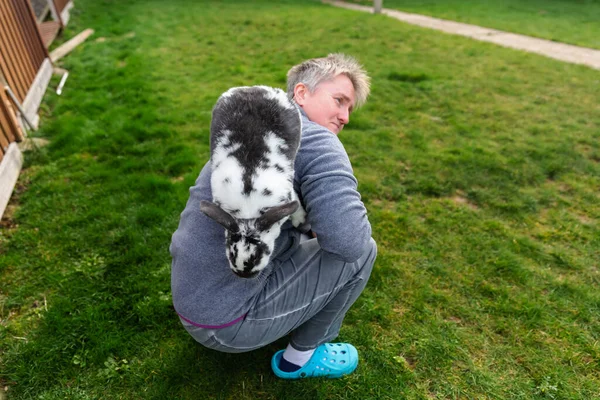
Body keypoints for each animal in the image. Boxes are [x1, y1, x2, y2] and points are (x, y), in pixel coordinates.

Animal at [200, 85, 308, 278]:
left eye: (258, 255)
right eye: (232, 254)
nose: (243, 274)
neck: (248, 209)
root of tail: (254, 88)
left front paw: (300, 221)